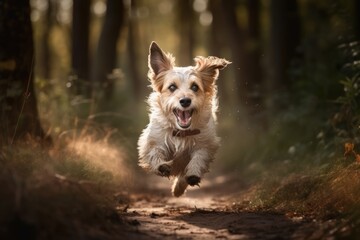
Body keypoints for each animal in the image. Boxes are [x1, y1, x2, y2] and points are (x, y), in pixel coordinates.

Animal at [136, 42, 229, 197]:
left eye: (195, 87)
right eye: (172, 87)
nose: (185, 101)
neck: (181, 132)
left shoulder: (206, 144)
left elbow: (199, 157)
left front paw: (192, 174)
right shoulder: (153, 140)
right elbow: (155, 152)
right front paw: (161, 166)